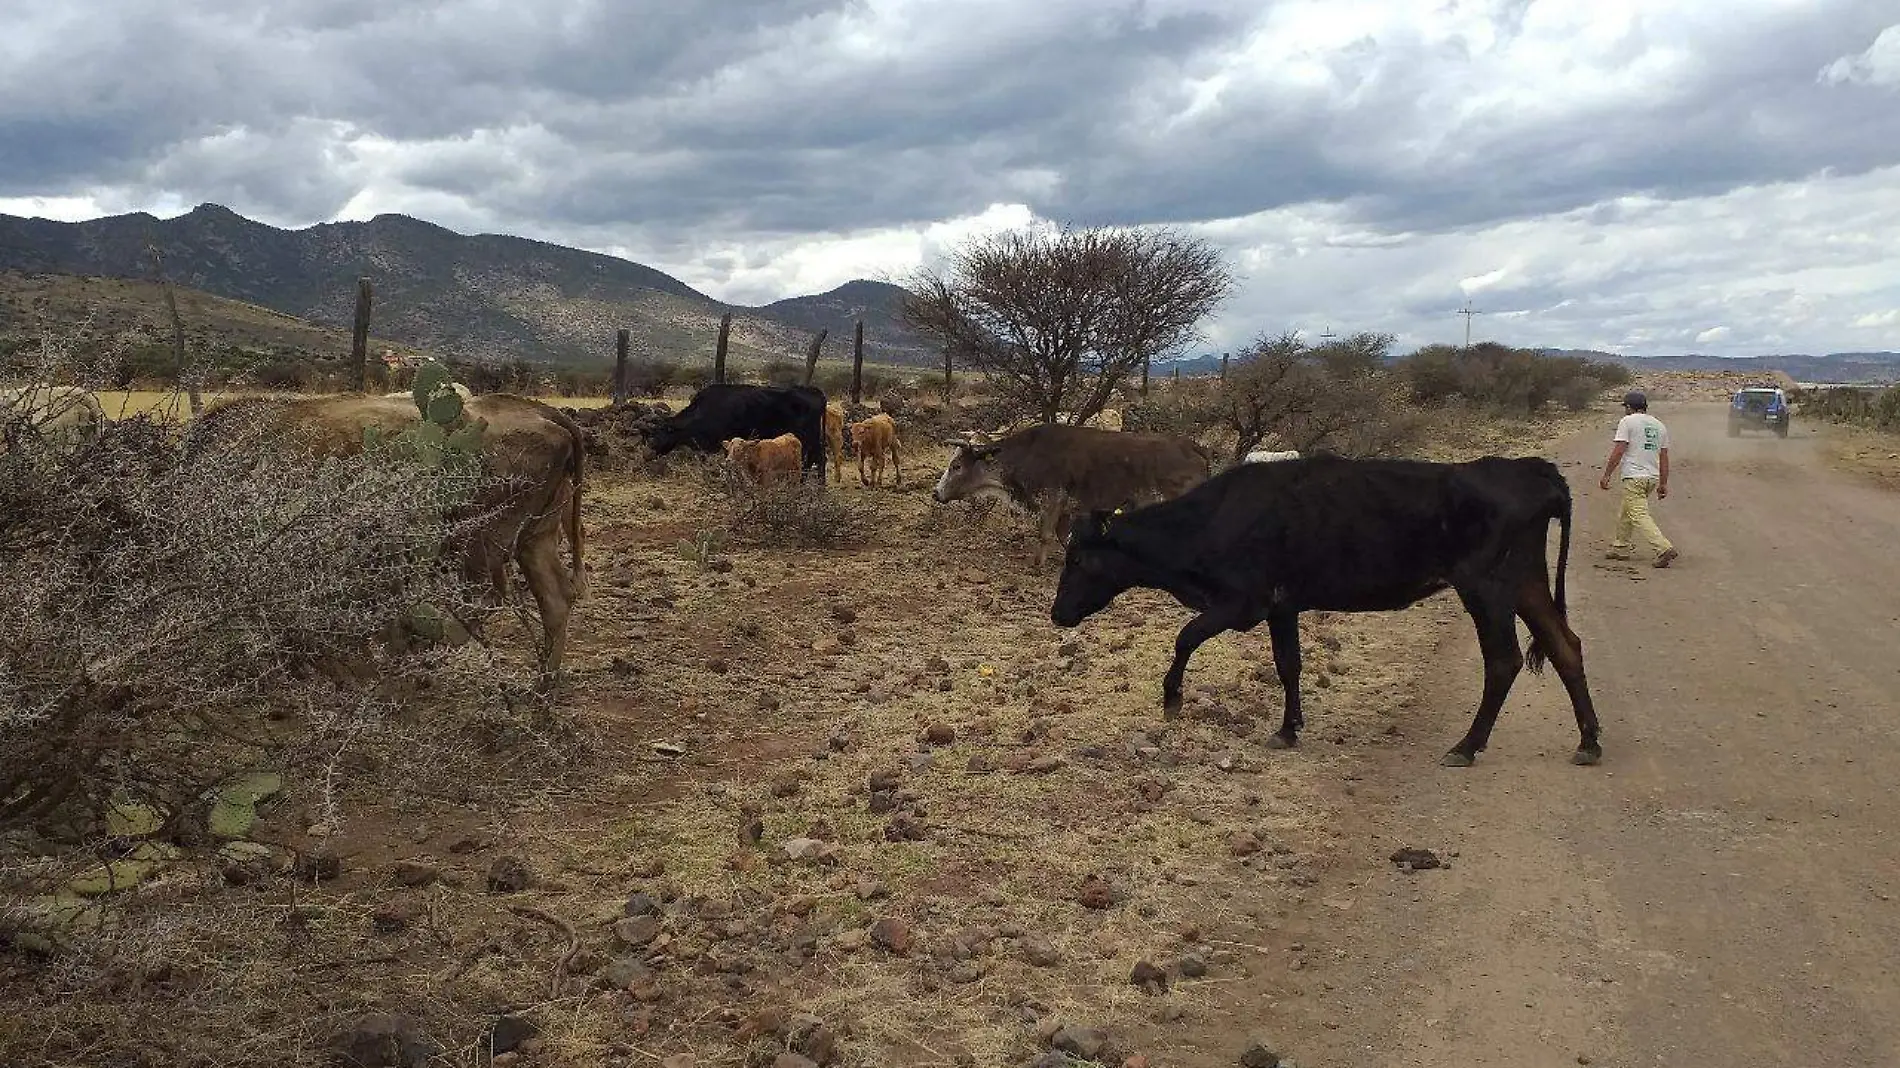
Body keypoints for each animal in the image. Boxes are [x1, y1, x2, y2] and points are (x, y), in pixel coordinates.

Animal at [190, 395, 585, 676]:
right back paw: (543, 687)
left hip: (477, 542)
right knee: (555, 600)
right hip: (534, 539)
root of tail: (546, 414)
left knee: (485, 599)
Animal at [1056, 448, 1603, 763]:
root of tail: (1531, 470)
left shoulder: (1243, 603)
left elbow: (1185, 636)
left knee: (1504, 660)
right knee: (1566, 645)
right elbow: (1288, 665)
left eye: (1079, 557)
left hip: (1486, 589)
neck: (1207, 522)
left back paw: (1467, 746)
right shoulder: (1282, 606)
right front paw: (1288, 729)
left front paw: (1171, 699)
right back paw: (1588, 741)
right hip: (1526, 583)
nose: (1058, 613)